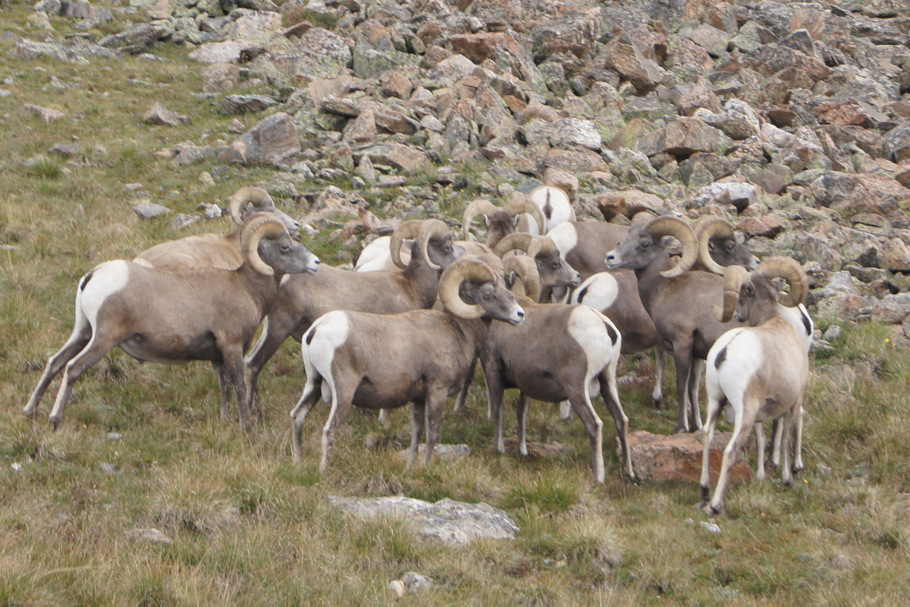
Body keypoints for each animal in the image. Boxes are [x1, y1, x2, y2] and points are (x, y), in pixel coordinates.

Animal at [23, 213, 320, 429]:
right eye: (285, 247)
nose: (316, 263)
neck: (246, 287)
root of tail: (93, 275)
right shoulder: (232, 346)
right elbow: (238, 385)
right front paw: (246, 426)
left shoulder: (218, 356)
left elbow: (224, 386)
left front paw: (225, 421)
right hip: (103, 339)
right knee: (73, 368)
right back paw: (55, 420)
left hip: (82, 332)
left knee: (54, 363)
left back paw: (30, 411)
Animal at [244, 219, 463, 417]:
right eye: (447, 247)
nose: (462, 257)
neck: (411, 286)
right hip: (280, 327)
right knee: (253, 364)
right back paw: (255, 414)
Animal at [290, 256, 526, 472]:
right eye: (488, 294)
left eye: (507, 289)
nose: (520, 314)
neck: (458, 330)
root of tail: (317, 329)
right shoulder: (437, 391)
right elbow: (432, 433)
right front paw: (427, 466)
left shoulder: (418, 399)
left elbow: (417, 432)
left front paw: (411, 466)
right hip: (343, 393)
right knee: (329, 430)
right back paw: (323, 471)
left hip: (313, 384)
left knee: (298, 416)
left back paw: (298, 462)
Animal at [481, 257, 635, 484]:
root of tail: (604, 326)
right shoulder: (526, 384)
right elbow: (522, 413)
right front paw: (522, 451)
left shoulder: (493, 369)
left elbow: (497, 410)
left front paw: (498, 450)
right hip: (608, 382)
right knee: (621, 420)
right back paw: (629, 473)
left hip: (577, 389)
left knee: (595, 424)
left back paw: (598, 478)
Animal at [699, 258, 810, 515]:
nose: (738, 315)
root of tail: (725, 351)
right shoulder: (793, 401)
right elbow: (785, 437)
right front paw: (788, 479)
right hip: (744, 413)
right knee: (730, 451)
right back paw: (715, 505)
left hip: (715, 401)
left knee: (707, 435)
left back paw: (705, 490)